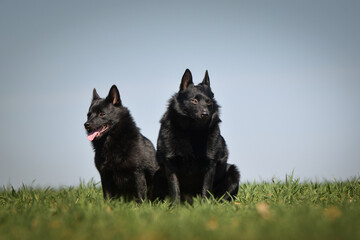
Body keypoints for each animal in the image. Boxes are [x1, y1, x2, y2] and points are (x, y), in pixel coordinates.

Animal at [156, 69, 240, 202]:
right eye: (194, 101)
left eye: (208, 101)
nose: (205, 114)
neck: (192, 132)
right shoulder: (170, 164)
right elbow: (175, 190)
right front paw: (175, 206)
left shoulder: (210, 165)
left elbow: (206, 189)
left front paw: (205, 205)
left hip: (233, 173)